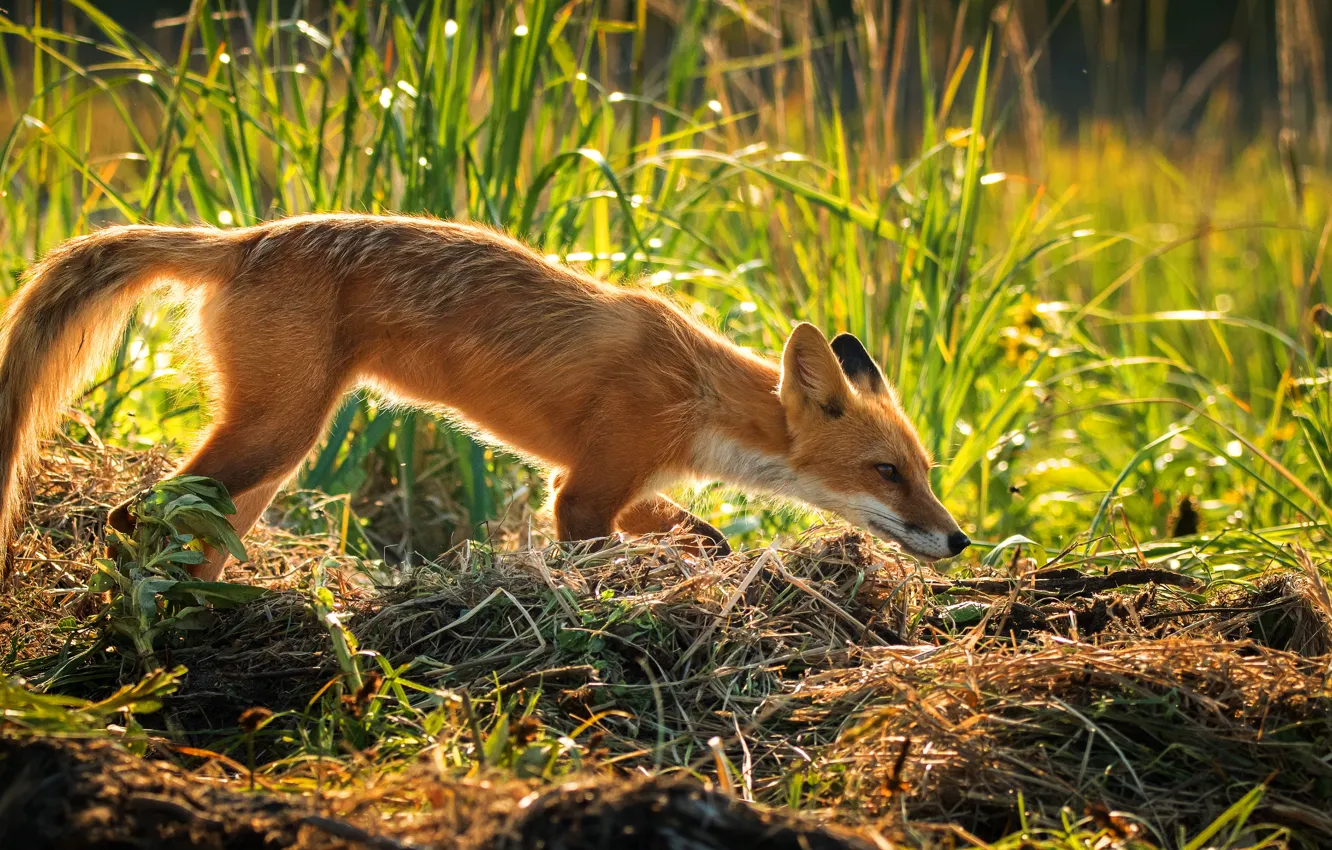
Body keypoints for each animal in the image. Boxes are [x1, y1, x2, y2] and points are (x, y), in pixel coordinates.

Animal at [0, 213, 969, 582]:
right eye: (886, 473)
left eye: (924, 470)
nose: (960, 540)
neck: (697, 395)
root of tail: (243, 238)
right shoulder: (582, 492)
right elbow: (600, 549)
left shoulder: (620, 482)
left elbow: (700, 532)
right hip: (278, 436)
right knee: (133, 513)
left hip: (269, 459)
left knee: (193, 529)